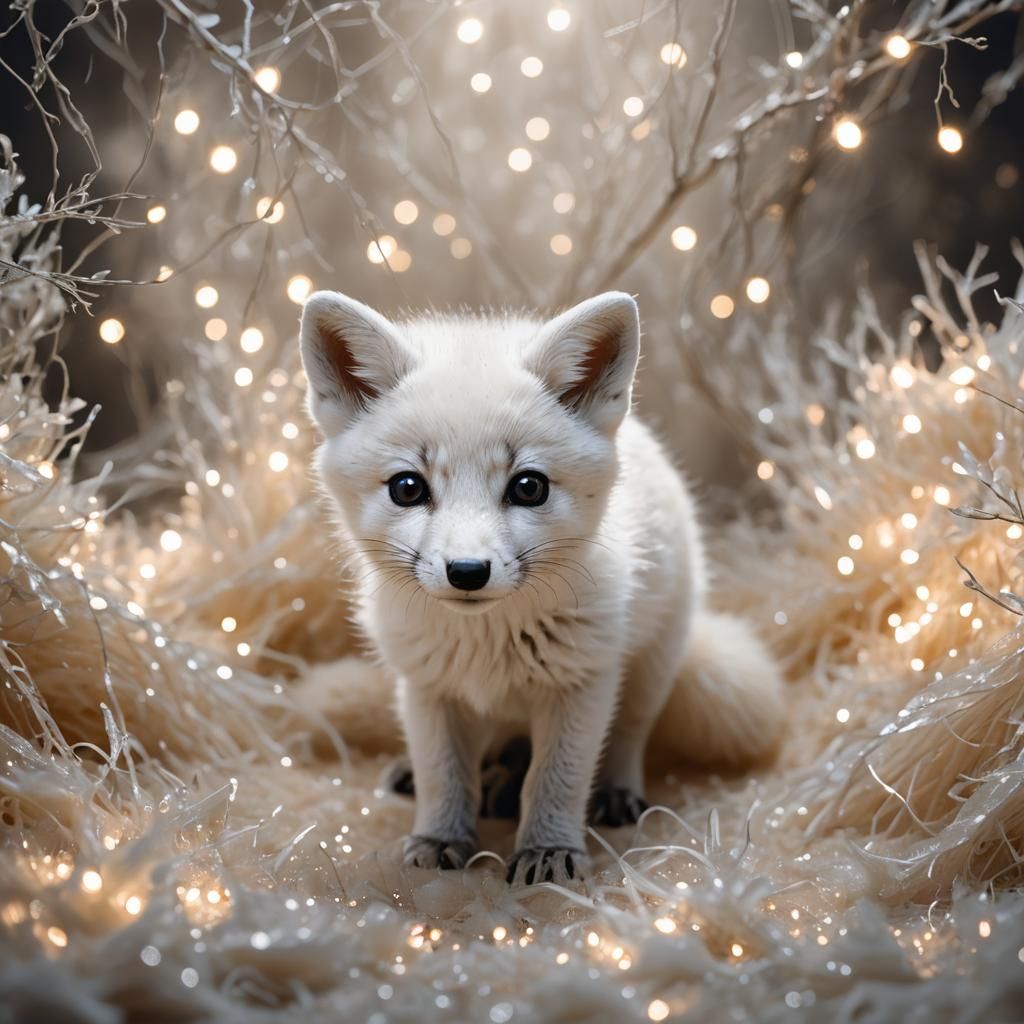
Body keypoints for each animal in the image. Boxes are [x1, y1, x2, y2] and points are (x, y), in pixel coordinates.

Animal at [298, 289, 785, 885]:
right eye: (407, 488)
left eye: (528, 487)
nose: (467, 571)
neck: (488, 643)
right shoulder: (429, 687)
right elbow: (444, 774)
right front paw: (440, 838)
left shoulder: (580, 683)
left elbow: (556, 778)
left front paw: (547, 851)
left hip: (651, 669)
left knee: (628, 736)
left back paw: (611, 792)